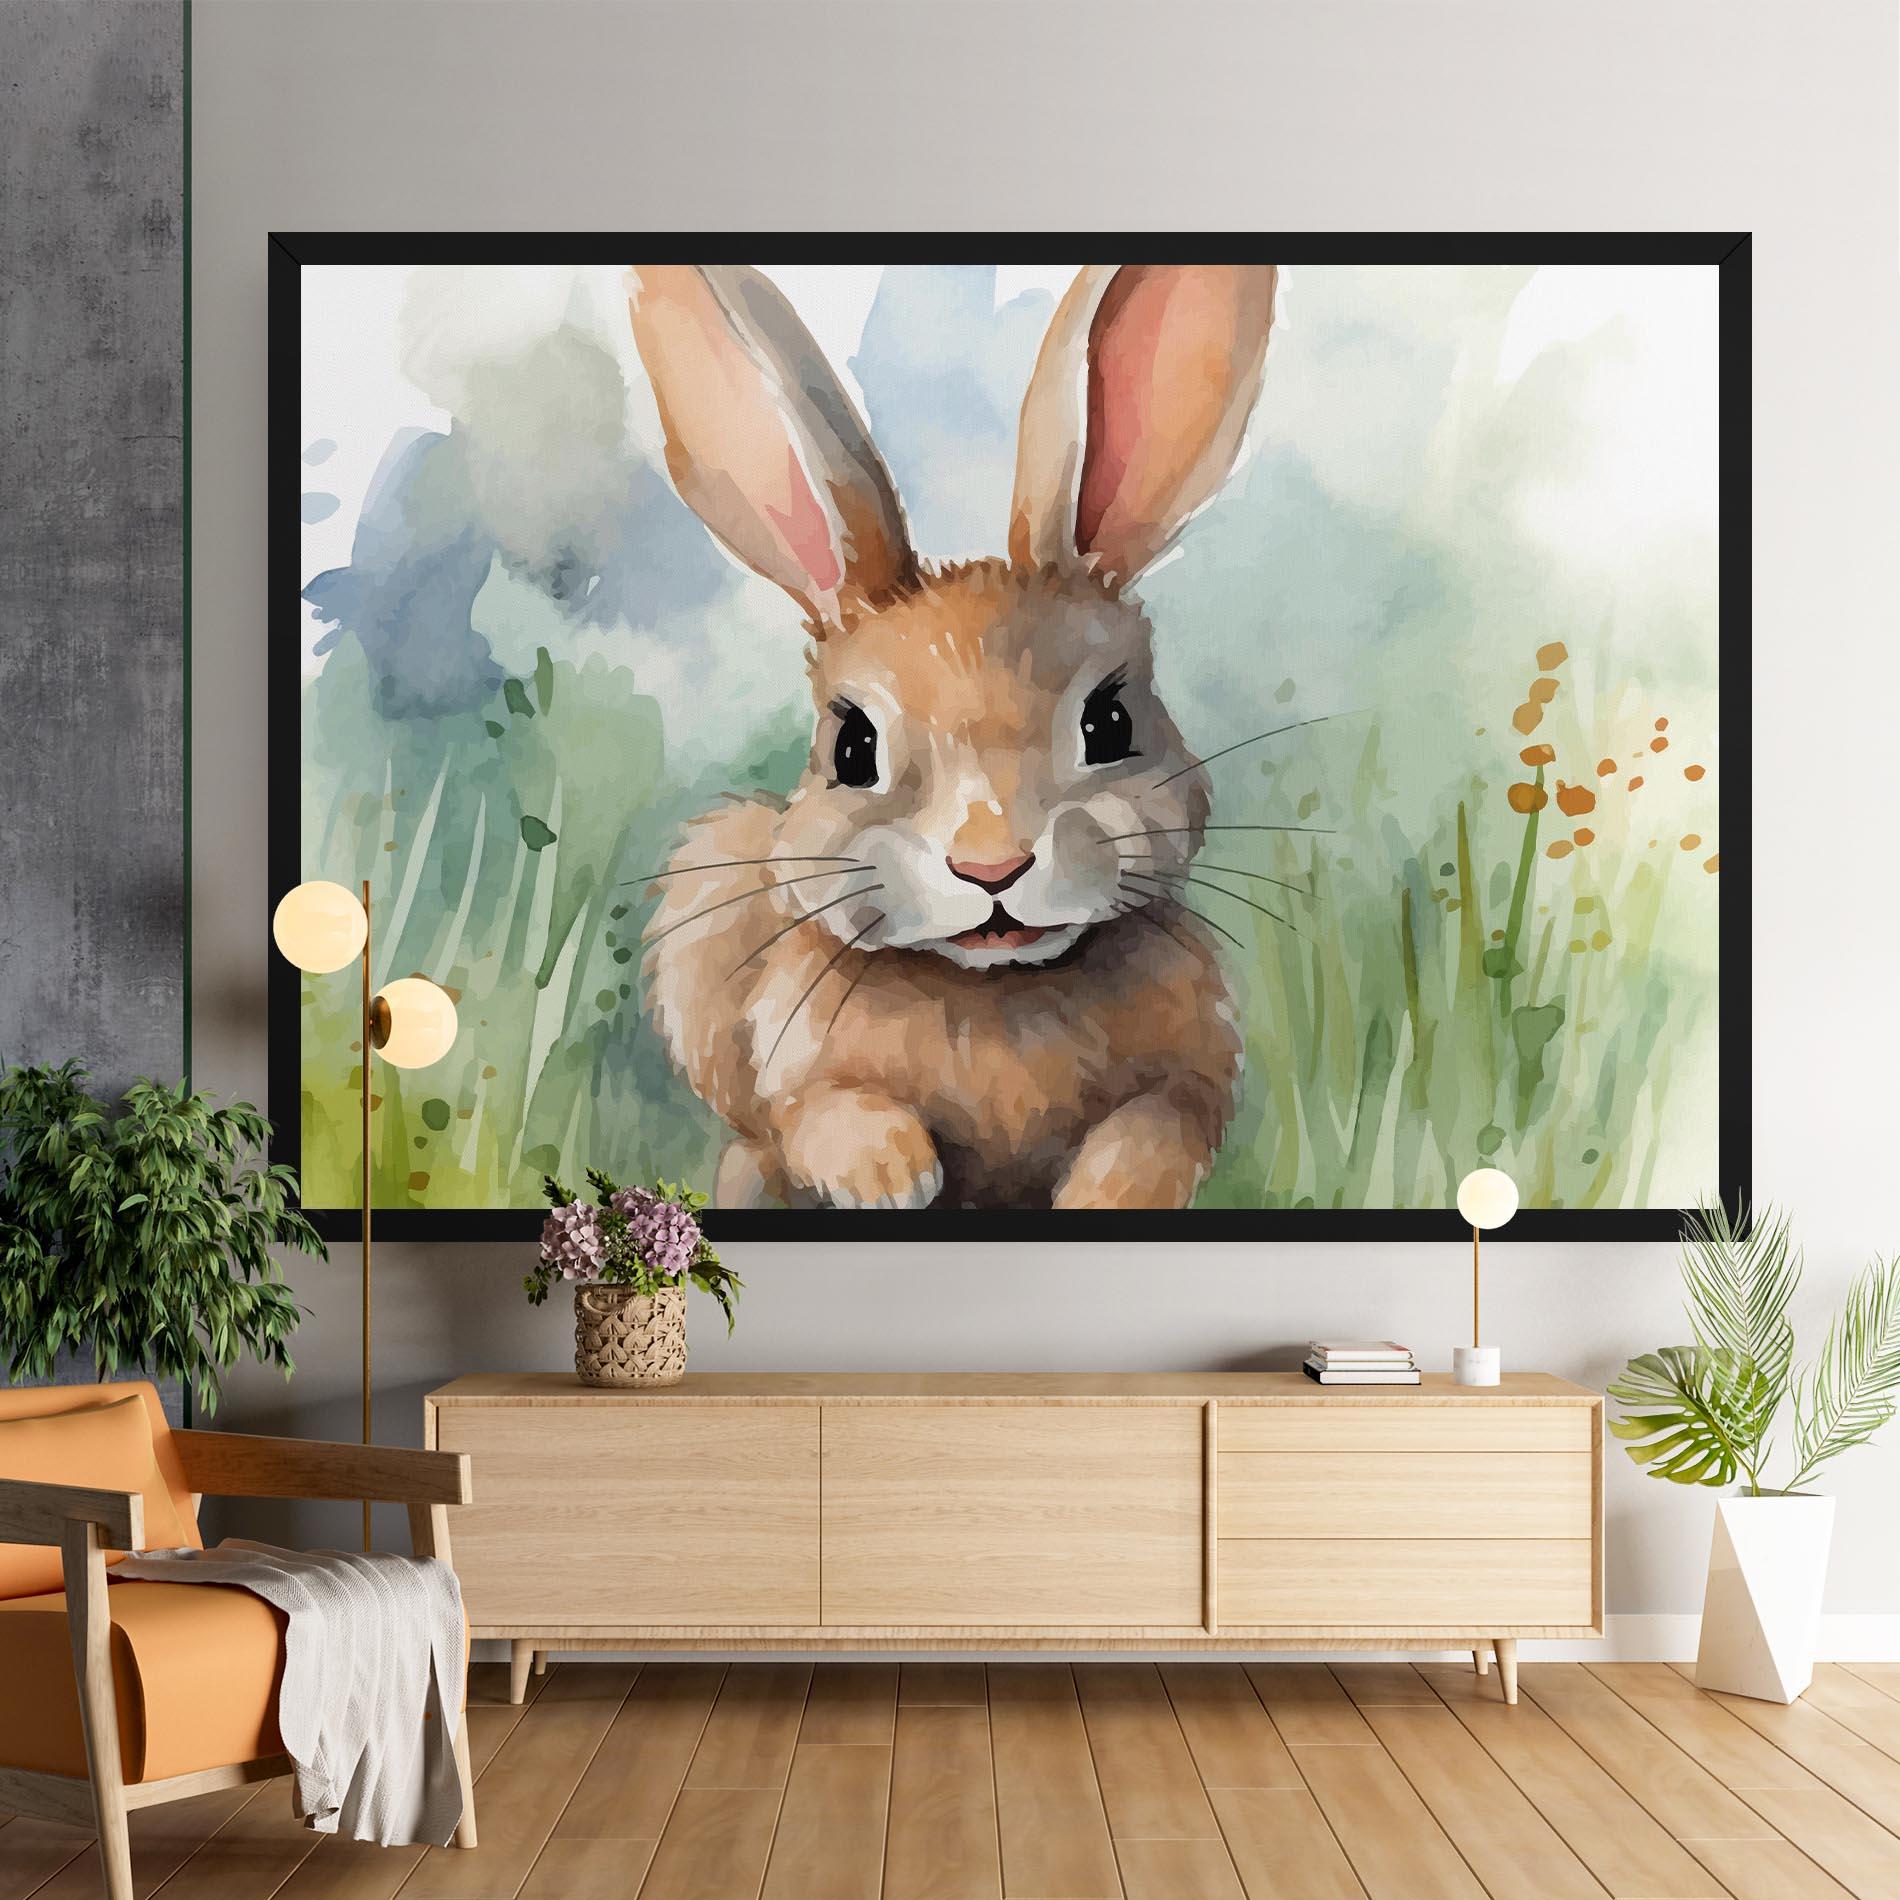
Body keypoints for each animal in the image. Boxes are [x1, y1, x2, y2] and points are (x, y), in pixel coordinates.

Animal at [626, 263, 1279, 1210]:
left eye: (1110, 723)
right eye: (852, 748)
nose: (992, 866)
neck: (993, 985)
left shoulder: (1192, 1083)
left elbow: (1159, 1130)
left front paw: (1101, 1196)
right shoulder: (795, 1080)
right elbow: (820, 1112)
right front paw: (892, 1173)